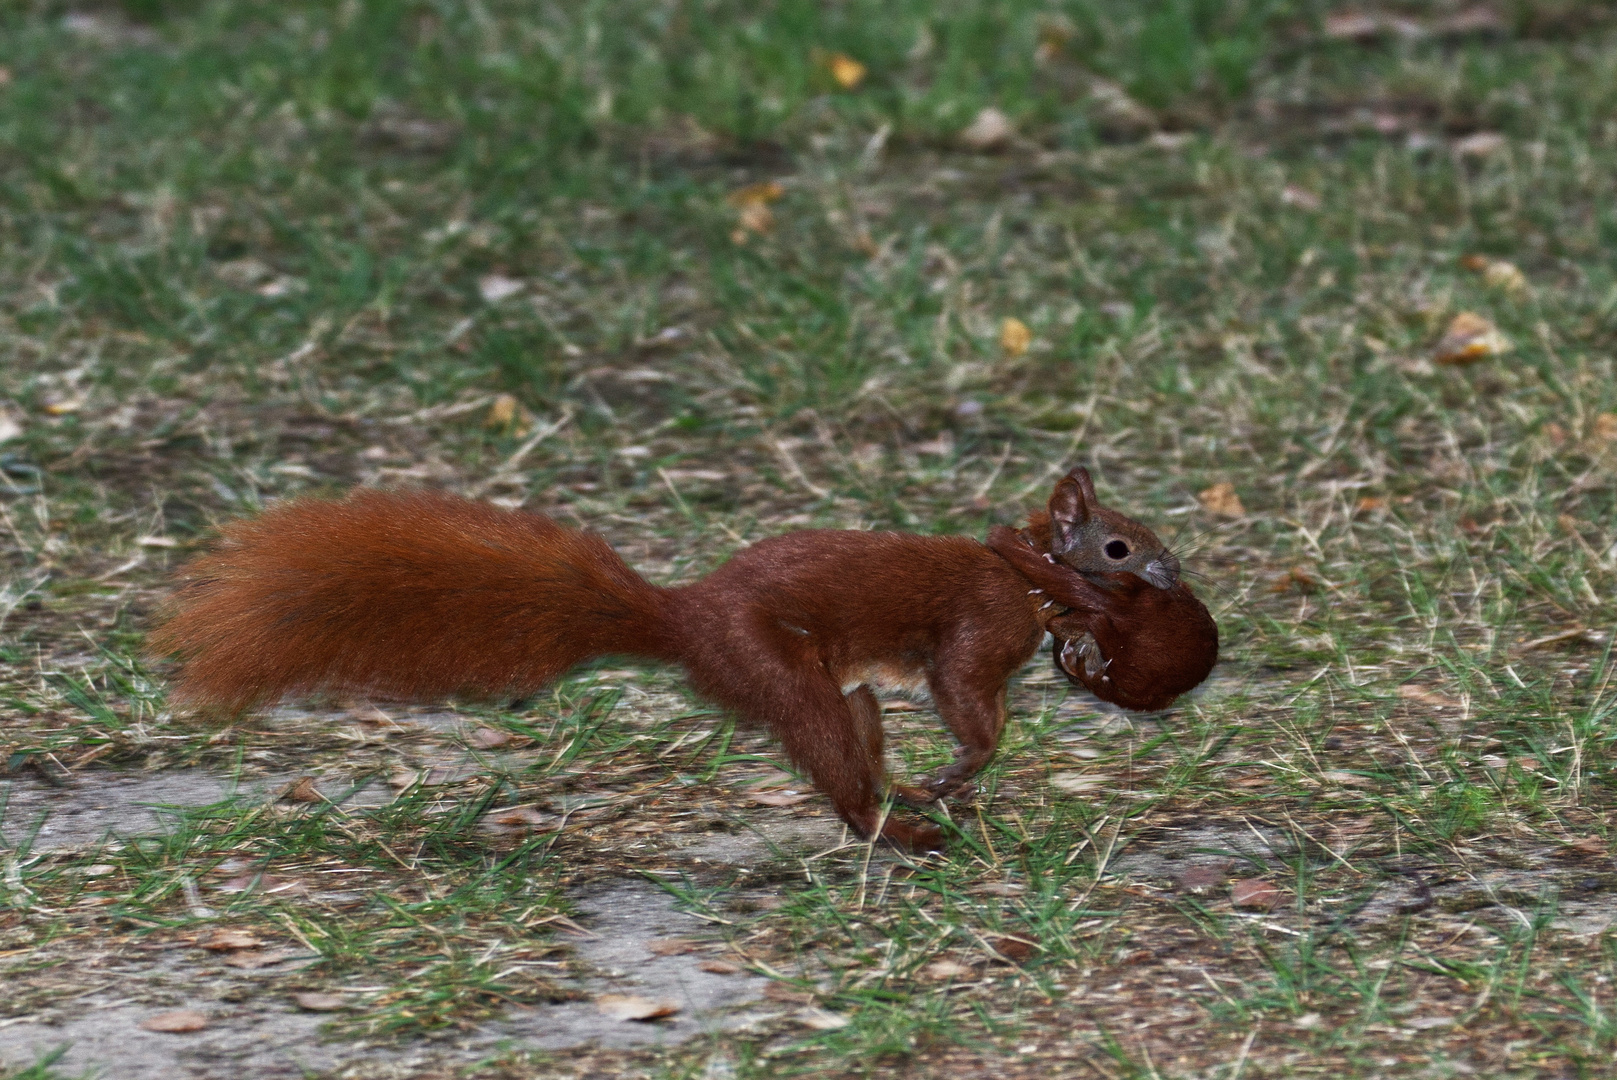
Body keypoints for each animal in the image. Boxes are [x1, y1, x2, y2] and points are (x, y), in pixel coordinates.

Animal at [151, 468, 1215, 847]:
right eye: (1118, 545)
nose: (1174, 571)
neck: (1026, 574)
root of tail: (684, 618)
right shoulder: (978, 625)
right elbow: (968, 700)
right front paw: (962, 769)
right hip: (776, 668)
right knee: (837, 767)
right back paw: (902, 827)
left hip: (834, 691)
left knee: (852, 746)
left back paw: (896, 809)